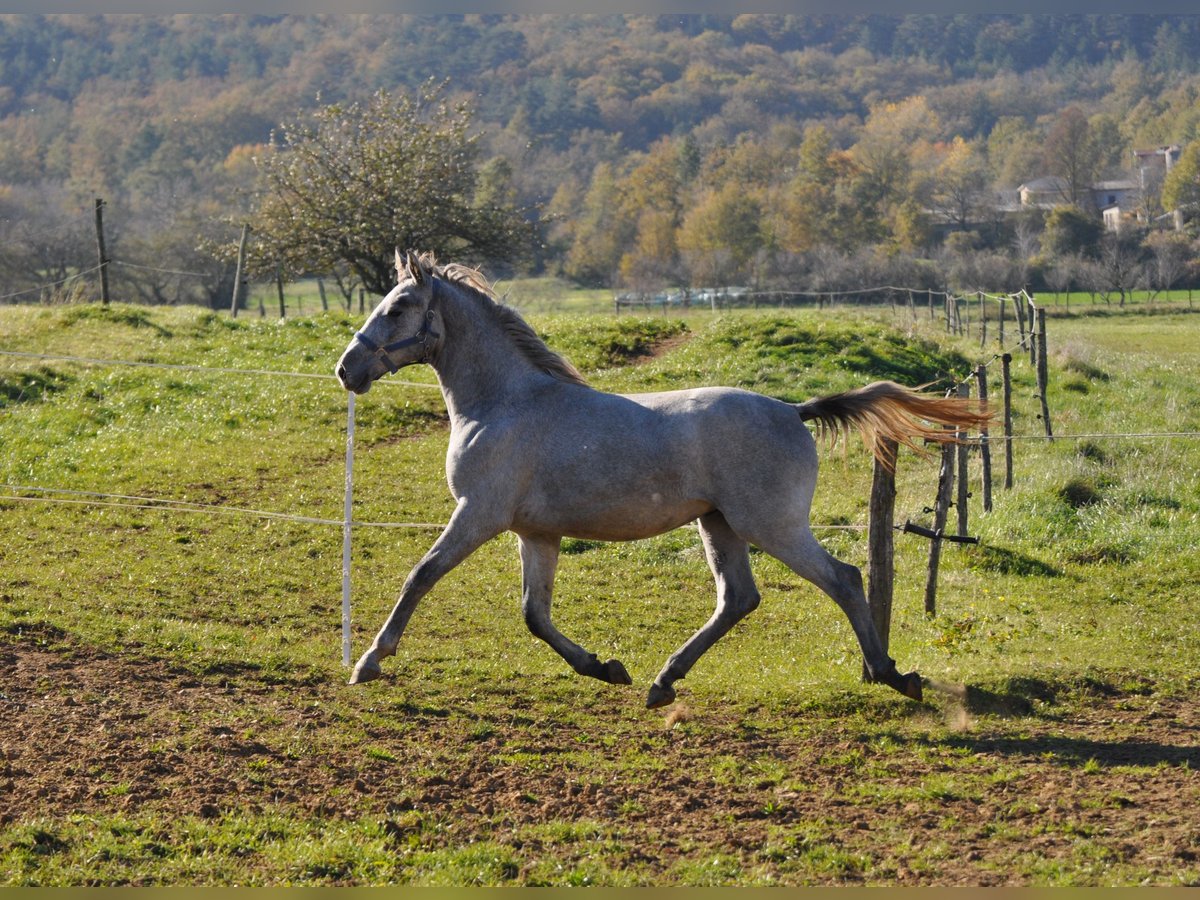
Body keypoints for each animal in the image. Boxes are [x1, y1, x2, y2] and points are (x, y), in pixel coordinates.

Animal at [333, 250, 988, 710]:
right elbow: (534, 614)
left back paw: (892, 675)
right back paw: (662, 681)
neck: (505, 403)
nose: (347, 369)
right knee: (738, 598)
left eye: (396, 308)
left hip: (770, 525)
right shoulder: (535, 534)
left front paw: (369, 661)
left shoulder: (478, 513)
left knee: (844, 579)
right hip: (719, 525)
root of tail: (792, 410)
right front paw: (605, 667)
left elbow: (421, 576)